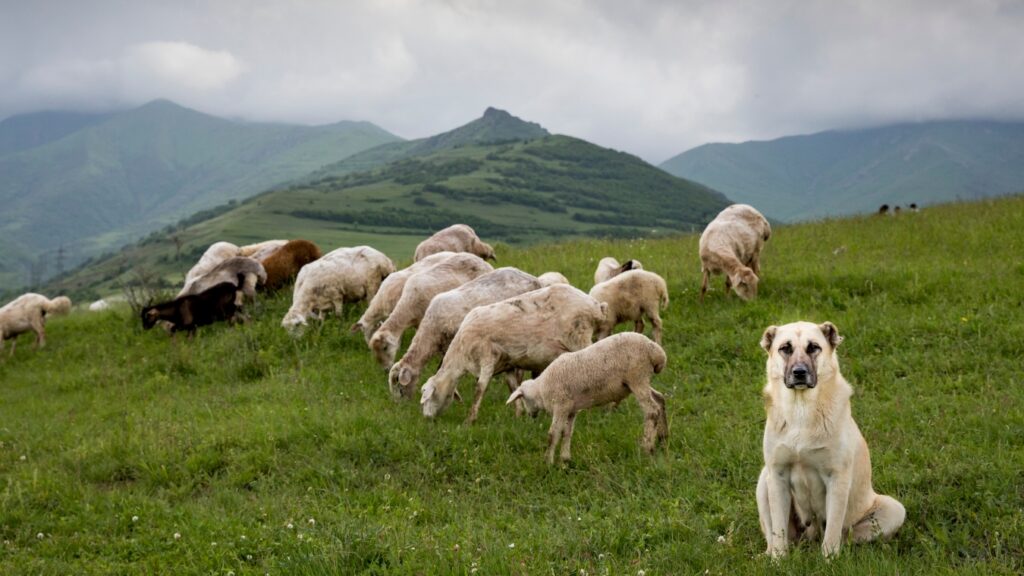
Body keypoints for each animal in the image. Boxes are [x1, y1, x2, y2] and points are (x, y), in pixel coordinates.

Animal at [385, 266, 544, 397]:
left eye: (399, 385)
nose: (400, 405)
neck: (430, 334)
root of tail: (534, 279)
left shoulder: (452, 344)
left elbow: (442, 368)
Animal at [421, 282, 606, 422]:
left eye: (425, 395)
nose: (427, 419)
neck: (460, 354)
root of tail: (595, 305)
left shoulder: (487, 357)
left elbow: (480, 388)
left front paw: (470, 420)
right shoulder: (507, 363)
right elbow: (513, 387)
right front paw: (519, 415)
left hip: (580, 336)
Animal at [505, 332, 671, 461]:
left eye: (524, 398)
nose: (531, 415)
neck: (541, 389)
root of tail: (656, 351)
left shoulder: (561, 405)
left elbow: (553, 434)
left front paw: (548, 462)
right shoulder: (571, 410)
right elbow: (566, 432)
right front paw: (565, 460)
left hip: (637, 376)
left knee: (652, 410)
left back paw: (647, 448)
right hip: (638, 381)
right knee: (660, 399)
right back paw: (663, 439)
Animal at [753, 319, 905, 553]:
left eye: (814, 347)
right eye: (785, 348)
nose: (799, 372)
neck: (801, 409)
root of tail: (810, 536)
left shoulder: (837, 477)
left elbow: (833, 528)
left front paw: (830, 558)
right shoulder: (777, 474)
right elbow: (778, 529)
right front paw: (779, 558)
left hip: (893, 509)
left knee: (845, 535)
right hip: (764, 480)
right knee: (774, 535)